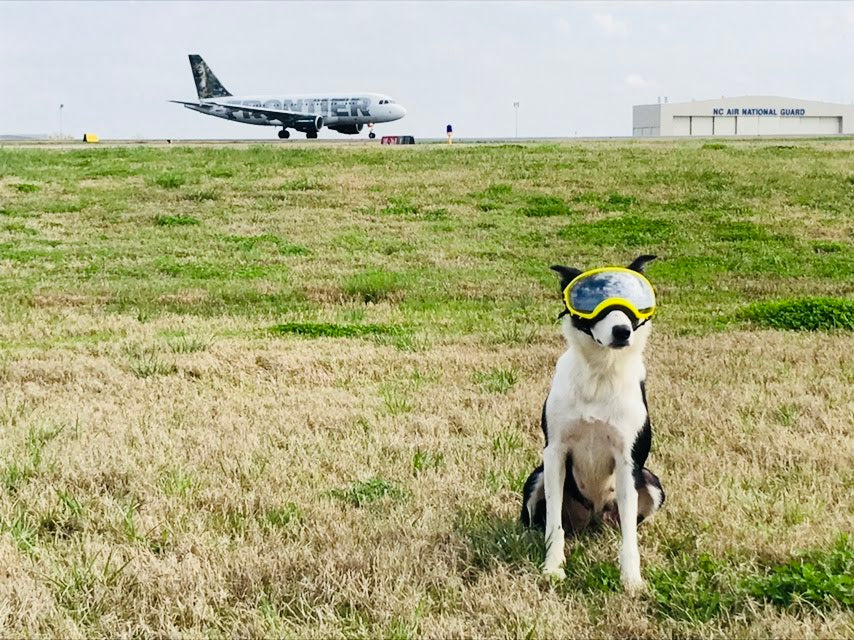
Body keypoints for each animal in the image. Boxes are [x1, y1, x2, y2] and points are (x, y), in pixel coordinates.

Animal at [520, 255, 668, 592]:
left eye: (635, 301)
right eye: (591, 300)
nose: (622, 331)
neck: (601, 373)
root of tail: (593, 517)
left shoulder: (627, 461)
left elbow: (630, 537)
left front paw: (631, 579)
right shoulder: (555, 453)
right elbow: (554, 525)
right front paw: (553, 567)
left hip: (650, 482)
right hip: (536, 476)